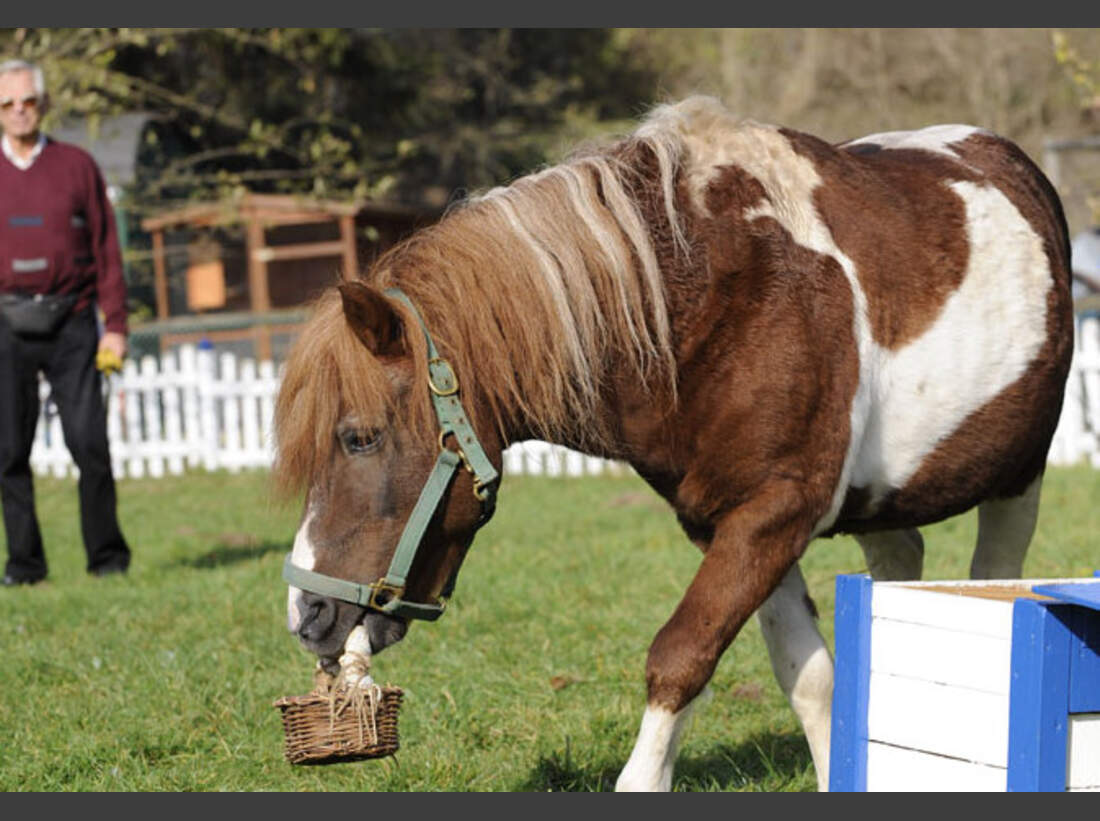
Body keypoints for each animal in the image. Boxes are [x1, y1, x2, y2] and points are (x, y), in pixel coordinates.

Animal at [274, 96, 1074, 791]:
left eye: (358, 437)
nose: (307, 615)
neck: (705, 297)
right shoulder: (731, 524)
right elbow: (811, 677)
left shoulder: (773, 514)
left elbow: (681, 657)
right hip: (882, 502)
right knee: (898, 565)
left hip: (1019, 480)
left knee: (993, 576)